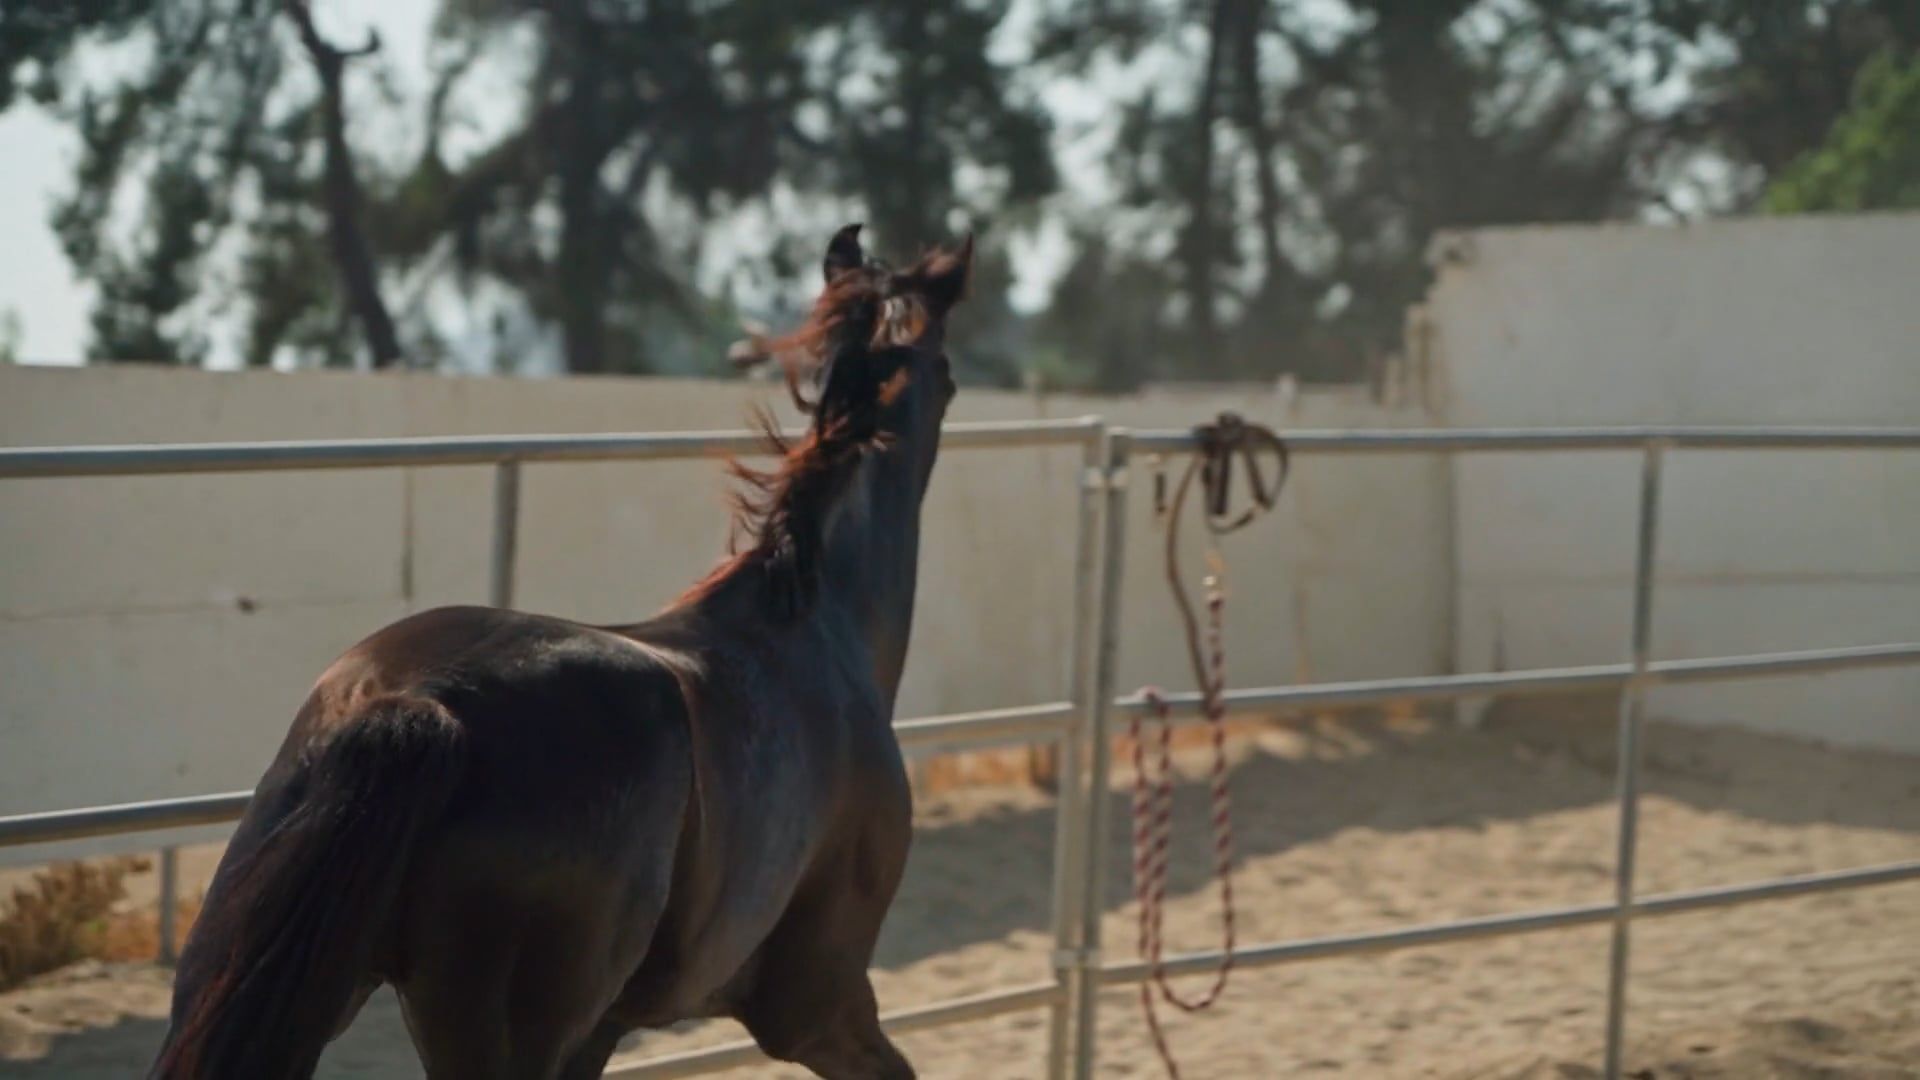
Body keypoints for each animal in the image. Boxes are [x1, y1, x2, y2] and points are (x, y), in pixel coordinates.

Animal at [150, 225, 971, 1080]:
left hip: (252, 982)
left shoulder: (604, 1029)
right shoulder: (817, 1005)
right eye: (948, 372)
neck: (817, 628)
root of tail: (424, 704)